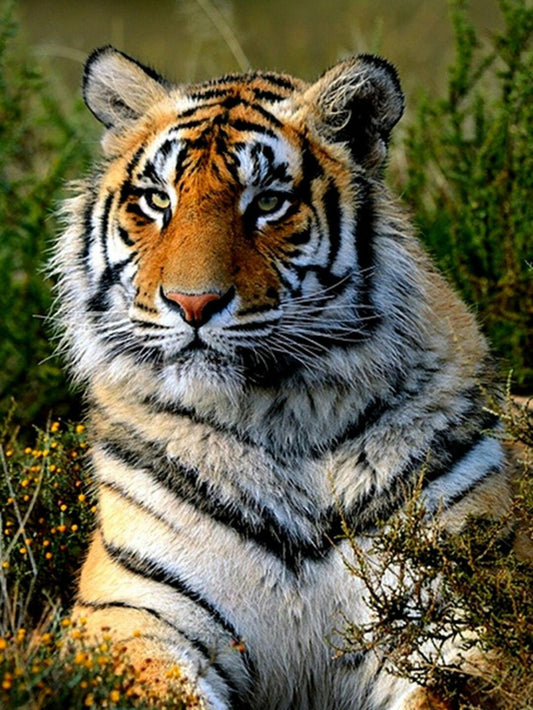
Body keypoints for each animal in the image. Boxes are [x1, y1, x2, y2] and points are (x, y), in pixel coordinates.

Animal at [51, 46, 514, 709]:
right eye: (158, 201)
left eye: (268, 203)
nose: (192, 303)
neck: (280, 417)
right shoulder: (134, 614)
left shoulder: (462, 614)